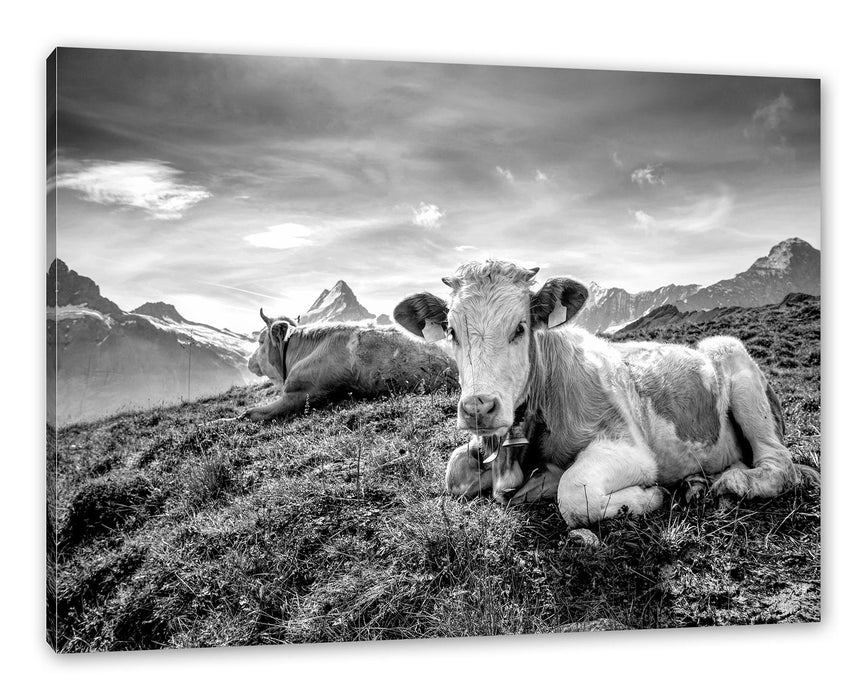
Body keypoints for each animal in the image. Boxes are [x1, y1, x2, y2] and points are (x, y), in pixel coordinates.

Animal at [394, 262, 812, 524]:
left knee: (779, 464)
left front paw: (649, 497)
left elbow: (574, 493)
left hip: (734, 361)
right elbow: (454, 471)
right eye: (451, 331)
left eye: (520, 327)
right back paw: (697, 484)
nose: (479, 407)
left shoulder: (629, 446)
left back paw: (730, 483)